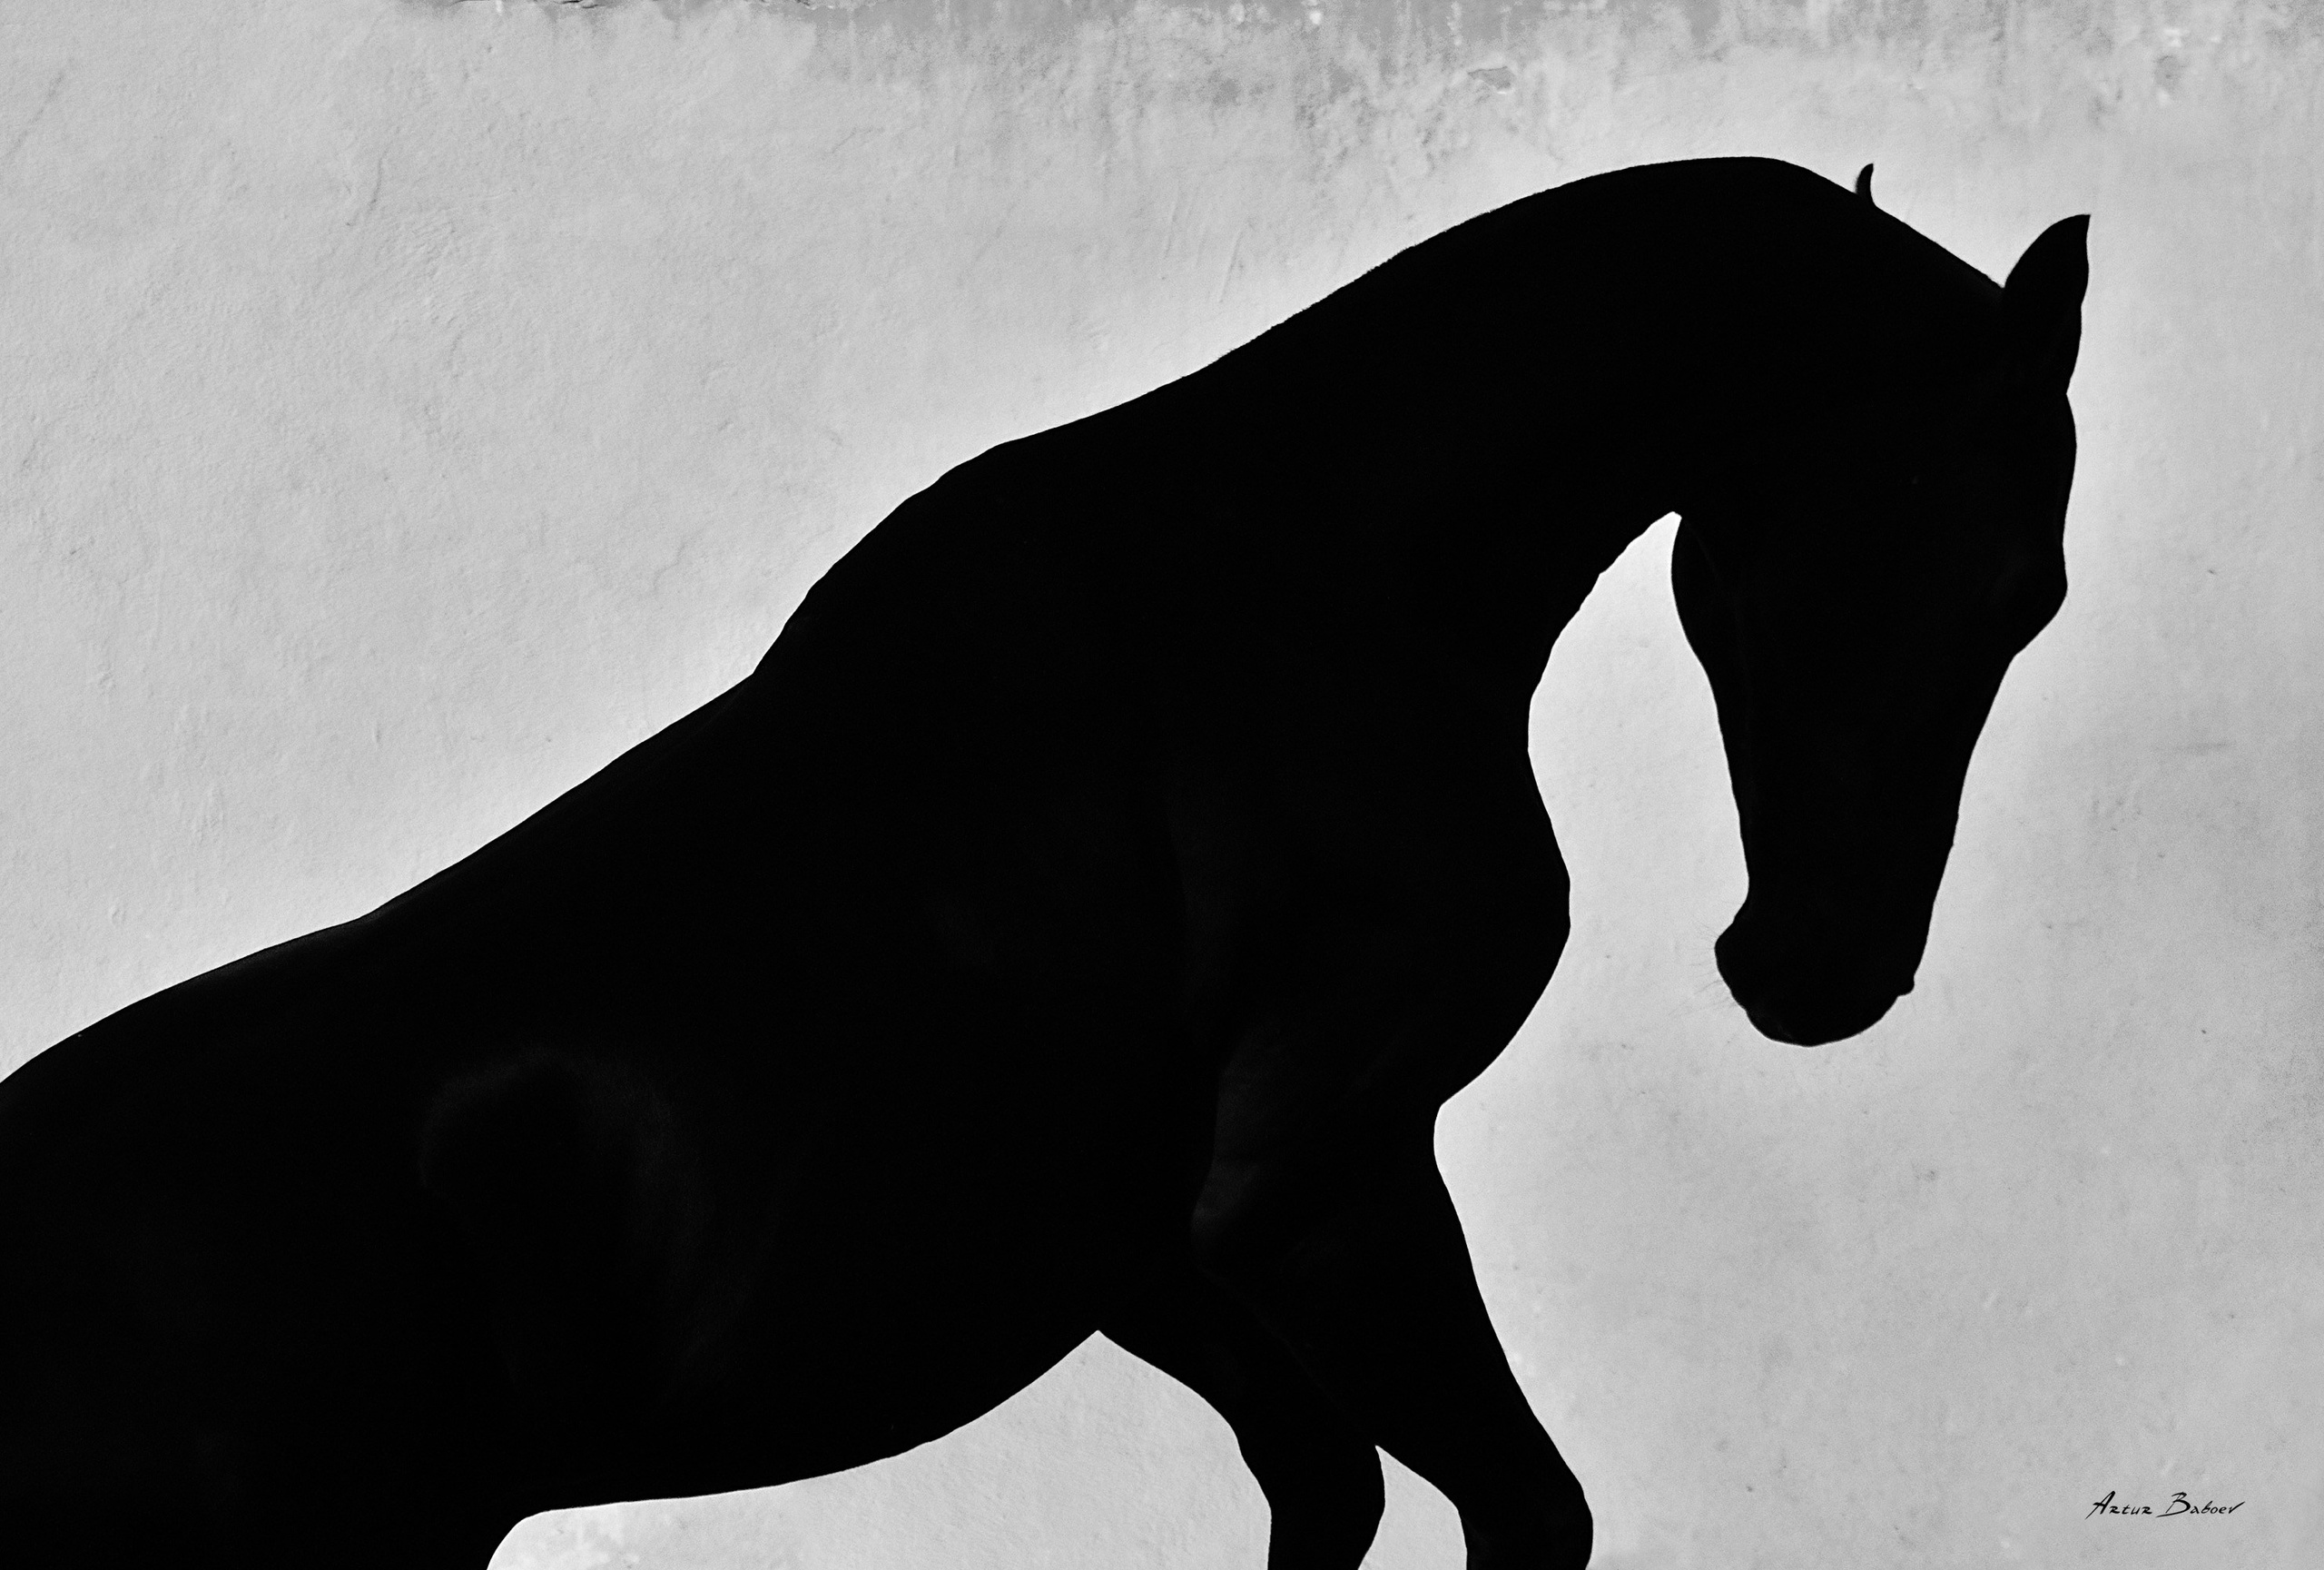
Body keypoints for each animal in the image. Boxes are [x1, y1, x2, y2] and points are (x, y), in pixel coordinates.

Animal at [0, 157, 2086, 1569]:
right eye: (2005, 575)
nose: (1815, 970)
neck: (1313, 578)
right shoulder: (1316, 1194)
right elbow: (1521, 1506)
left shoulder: (1160, 1267)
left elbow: (1331, 1493)